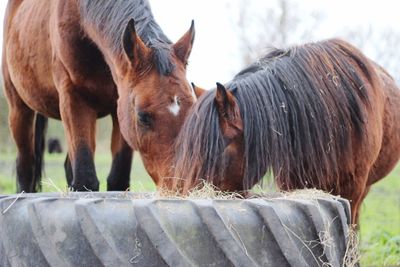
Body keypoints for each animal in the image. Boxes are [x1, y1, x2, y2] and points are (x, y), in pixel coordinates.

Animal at [1, 0, 198, 193]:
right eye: (142, 117)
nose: (177, 187)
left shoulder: (120, 108)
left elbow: (118, 180)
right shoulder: (74, 99)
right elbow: (85, 180)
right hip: (19, 110)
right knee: (25, 167)